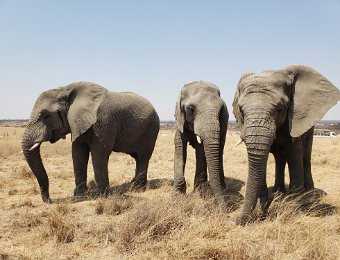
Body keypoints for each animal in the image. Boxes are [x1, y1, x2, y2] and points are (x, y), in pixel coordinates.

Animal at [21, 81, 160, 203]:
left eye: (47, 116)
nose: (49, 200)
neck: (66, 90)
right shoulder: (78, 123)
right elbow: (78, 154)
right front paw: (79, 195)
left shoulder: (103, 121)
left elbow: (99, 154)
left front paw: (101, 195)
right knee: (138, 157)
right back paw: (134, 185)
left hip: (151, 130)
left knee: (142, 157)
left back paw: (137, 188)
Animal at [231, 65, 340, 225]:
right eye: (241, 111)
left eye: (279, 109)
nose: (237, 221)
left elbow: (294, 155)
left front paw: (296, 203)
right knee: (280, 158)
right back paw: (279, 191)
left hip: (311, 127)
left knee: (305, 156)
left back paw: (308, 192)